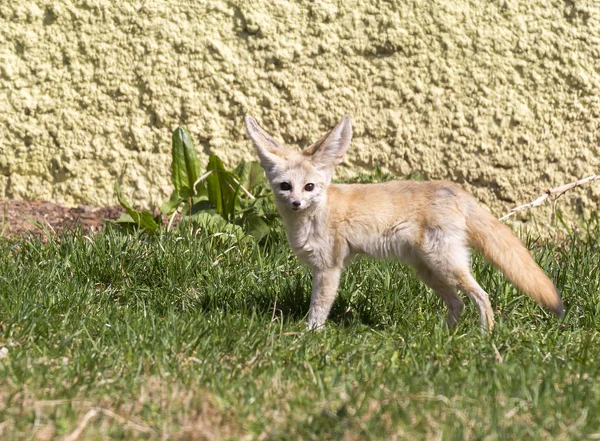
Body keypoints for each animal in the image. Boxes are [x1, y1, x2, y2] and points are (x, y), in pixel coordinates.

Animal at [244, 115, 564, 328]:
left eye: (309, 187)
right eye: (286, 186)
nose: (296, 203)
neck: (315, 216)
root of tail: (453, 189)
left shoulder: (329, 267)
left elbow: (319, 308)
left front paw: (309, 334)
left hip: (446, 265)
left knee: (482, 296)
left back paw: (486, 336)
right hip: (429, 271)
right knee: (458, 302)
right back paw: (446, 336)